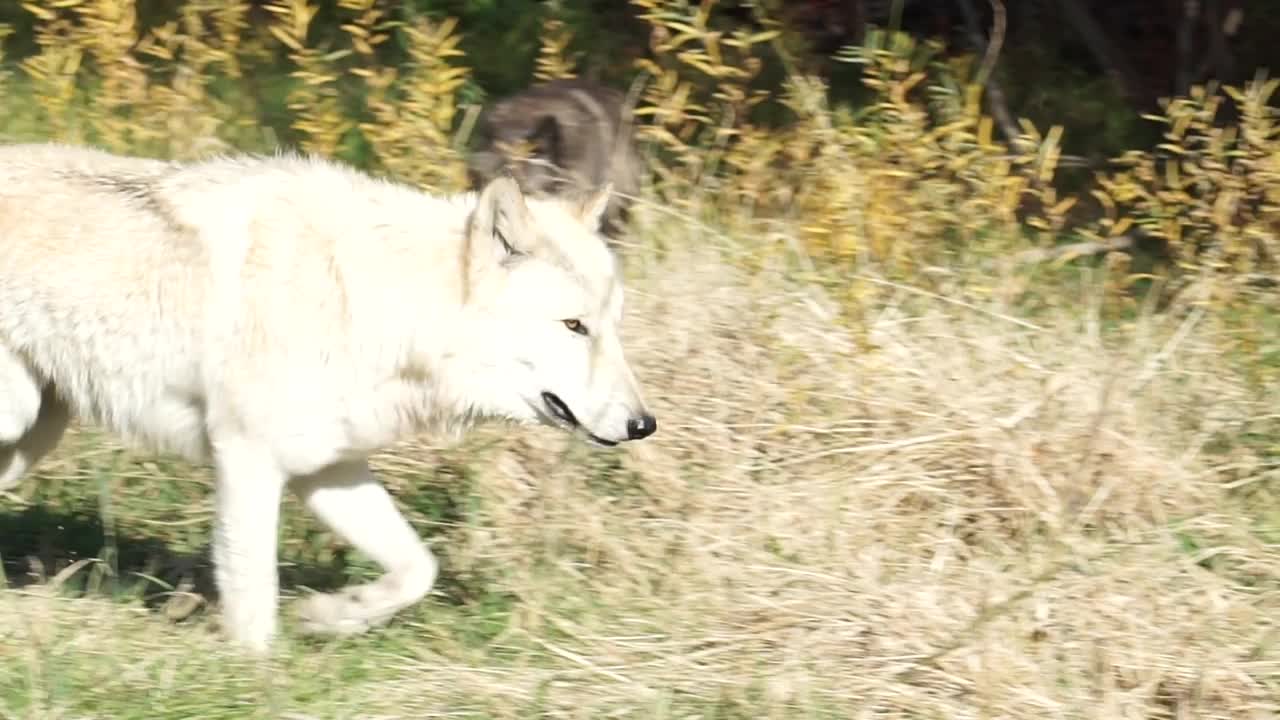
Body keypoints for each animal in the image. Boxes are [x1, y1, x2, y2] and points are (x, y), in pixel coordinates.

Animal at [0, 140, 660, 650]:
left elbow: (418, 568)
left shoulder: (328, 469)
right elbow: (254, 599)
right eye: (574, 326)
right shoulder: (247, 460)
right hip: (21, 418)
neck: (381, 302)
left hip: (34, 433)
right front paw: (255, 680)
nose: (644, 425)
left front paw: (333, 616)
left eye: (615, 325)